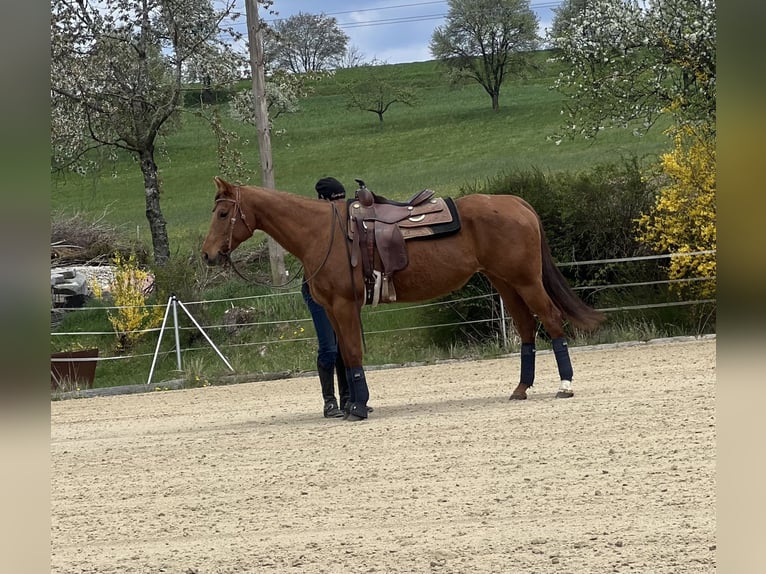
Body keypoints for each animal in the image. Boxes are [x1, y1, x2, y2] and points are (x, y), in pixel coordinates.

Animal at [201, 177, 605, 421]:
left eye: (222, 212)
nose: (207, 255)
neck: (322, 232)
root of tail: (517, 203)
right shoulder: (331, 309)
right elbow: (342, 356)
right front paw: (352, 404)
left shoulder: (344, 305)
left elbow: (353, 354)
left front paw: (359, 407)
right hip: (504, 282)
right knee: (525, 328)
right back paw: (521, 389)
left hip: (526, 280)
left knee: (551, 320)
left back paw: (565, 386)